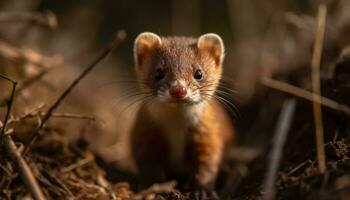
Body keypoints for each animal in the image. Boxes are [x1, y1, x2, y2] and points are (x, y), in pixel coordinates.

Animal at [131, 32, 235, 190]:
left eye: (199, 73)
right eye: (158, 72)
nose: (178, 90)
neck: (177, 128)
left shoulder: (209, 133)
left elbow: (208, 162)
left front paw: (201, 190)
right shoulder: (144, 133)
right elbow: (148, 163)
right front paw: (155, 185)